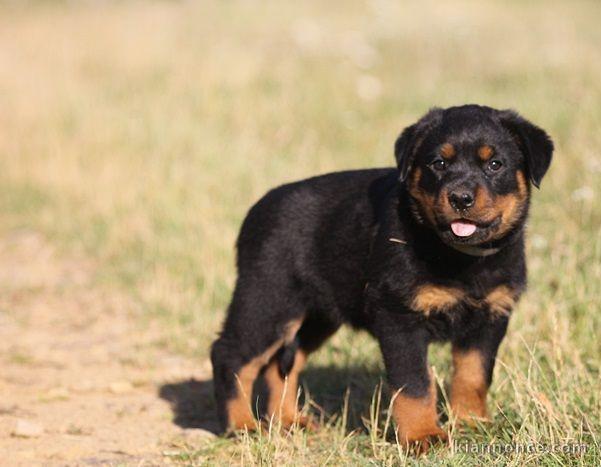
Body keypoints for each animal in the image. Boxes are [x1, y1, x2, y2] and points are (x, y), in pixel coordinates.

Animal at [211, 105, 552, 450]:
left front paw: (472, 423)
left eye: (495, 164)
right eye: (438, 163)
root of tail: (255, 211)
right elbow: (414, 384)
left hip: (318, 315)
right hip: (268, 297)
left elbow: (474, 376)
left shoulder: (490, 318)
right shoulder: (398, 316)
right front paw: (422, 436)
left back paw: (289, 422)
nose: (460, 197)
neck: (459, 257)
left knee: (281, 365)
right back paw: (242, 426)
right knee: (231, 354)